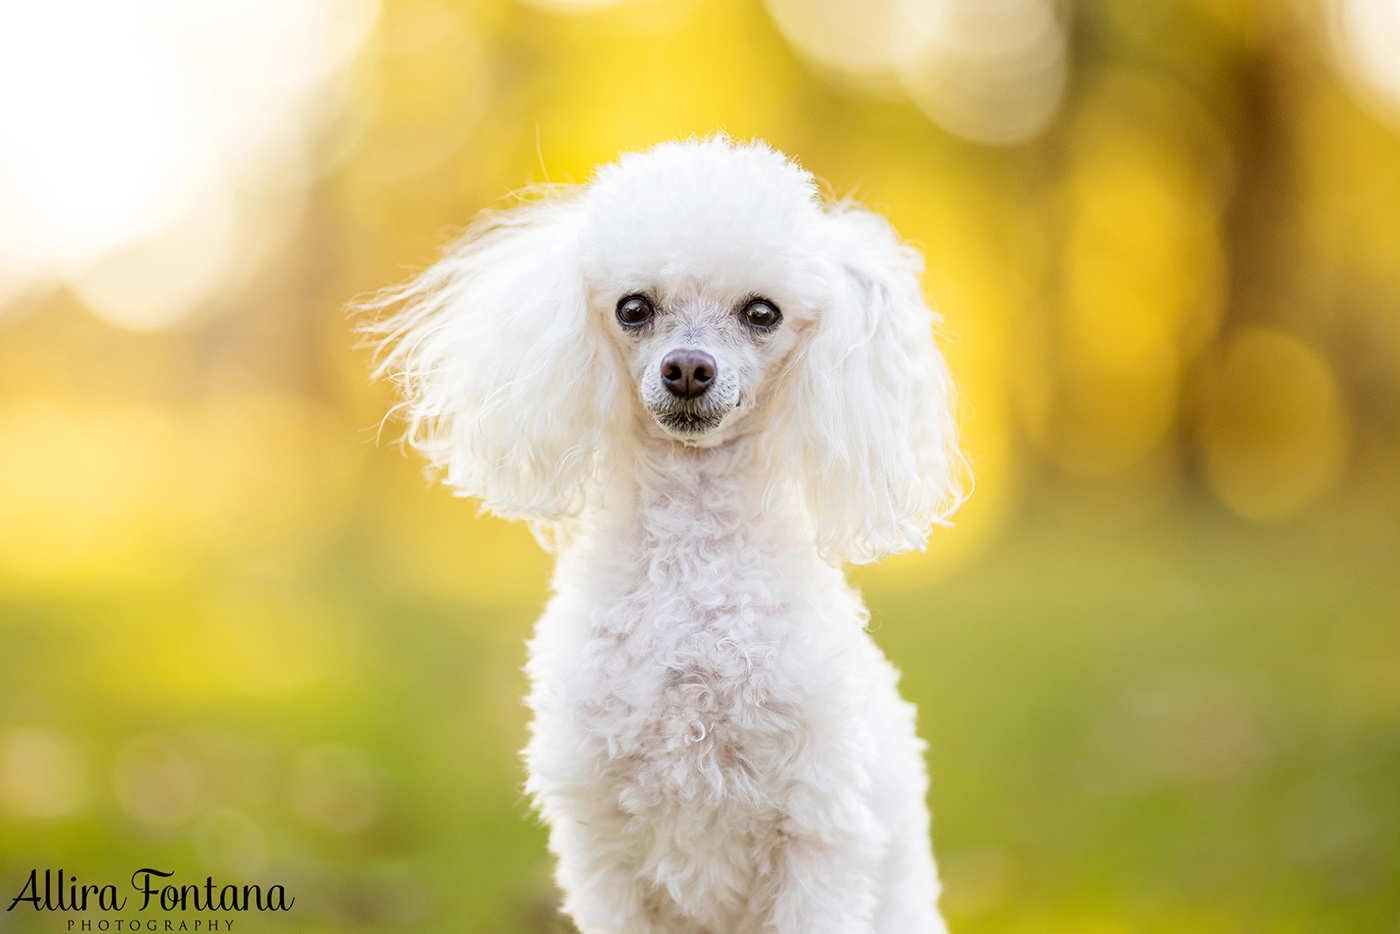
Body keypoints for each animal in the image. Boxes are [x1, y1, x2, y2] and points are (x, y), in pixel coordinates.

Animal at [366, 135, 968, 929]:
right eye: (633, 307)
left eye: (763, 312)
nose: (687, 368)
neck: (692, 569)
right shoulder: (602, 851)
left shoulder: (821, 835)